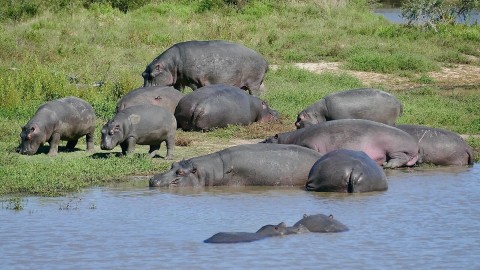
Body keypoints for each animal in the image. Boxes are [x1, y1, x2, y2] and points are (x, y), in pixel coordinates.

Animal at [142, 39, 270, 96]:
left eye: (152, 75)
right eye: (143, 74)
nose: (143, 90)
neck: (171, 64)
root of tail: (264, 60)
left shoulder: (193, 81)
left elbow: (195, 88)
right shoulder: (179, 81)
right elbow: (178, 90)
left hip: (253, 82)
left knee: (254, 92)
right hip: (257, 82)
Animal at [262, 118, 420, 168]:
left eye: (267, 139)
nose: (260, 142)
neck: (288, 138)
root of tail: (416, 146)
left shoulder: (309, 143)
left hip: (394, 148)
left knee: (400, 158)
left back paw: (388, 165)